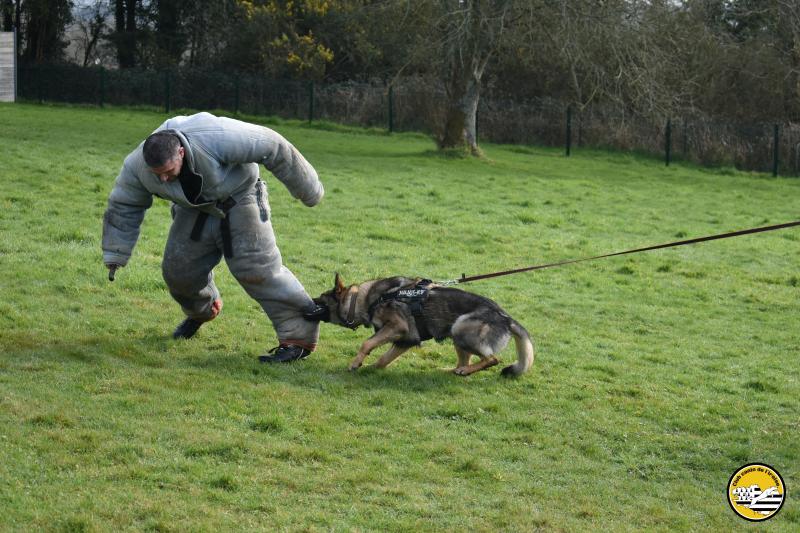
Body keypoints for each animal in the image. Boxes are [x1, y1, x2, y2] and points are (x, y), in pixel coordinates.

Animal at [311, 274, 534, 376]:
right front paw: (372, 368)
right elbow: (384, 358)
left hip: (460, 328)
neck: (365, 299)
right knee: (464, 361)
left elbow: (367, 344)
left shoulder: (396, 326)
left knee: (493, 359)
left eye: (320, 298)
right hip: (456, 333)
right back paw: (453, 370)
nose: (309, 301)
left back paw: (465, 371)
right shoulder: (405, 340)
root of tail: (506, 317)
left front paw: (356, 363)